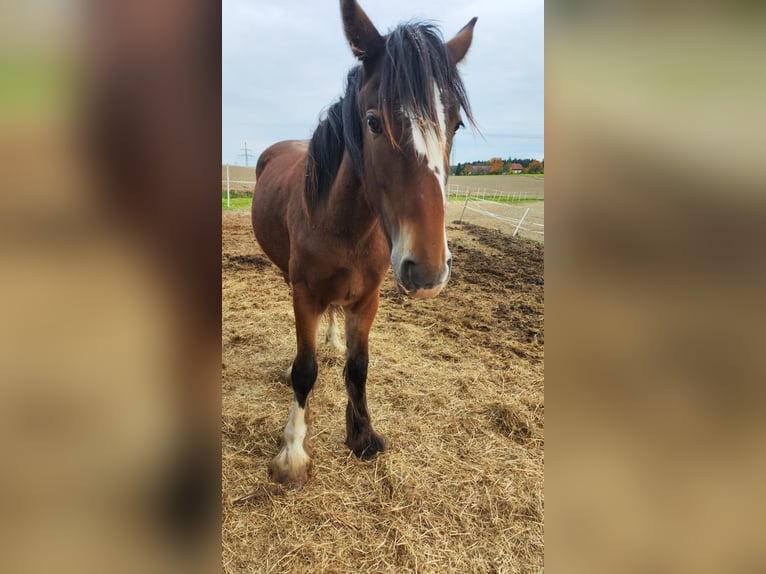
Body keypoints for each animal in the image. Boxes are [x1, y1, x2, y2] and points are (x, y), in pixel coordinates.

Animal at [252, 0, 476, 488]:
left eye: (454, 124)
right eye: (373, 122)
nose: (429, 271)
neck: (345, 226)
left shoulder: (368, 297)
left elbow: (358, 366)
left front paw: (362, 435)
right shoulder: (304, 293)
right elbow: (305, 370)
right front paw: (293, 454)